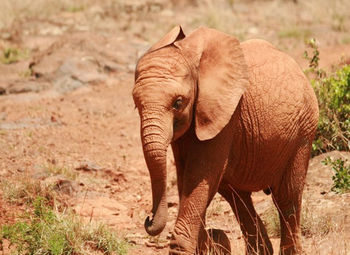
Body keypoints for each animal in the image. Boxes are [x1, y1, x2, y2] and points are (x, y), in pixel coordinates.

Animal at [133, 24, 318, 254]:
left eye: (178, 102)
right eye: (136, 104)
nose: (148, 219)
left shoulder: (226, 117)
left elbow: (199, 179)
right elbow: (186, 181)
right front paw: (208, 242)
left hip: (304, 131)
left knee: (286, 197)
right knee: (238, 198)